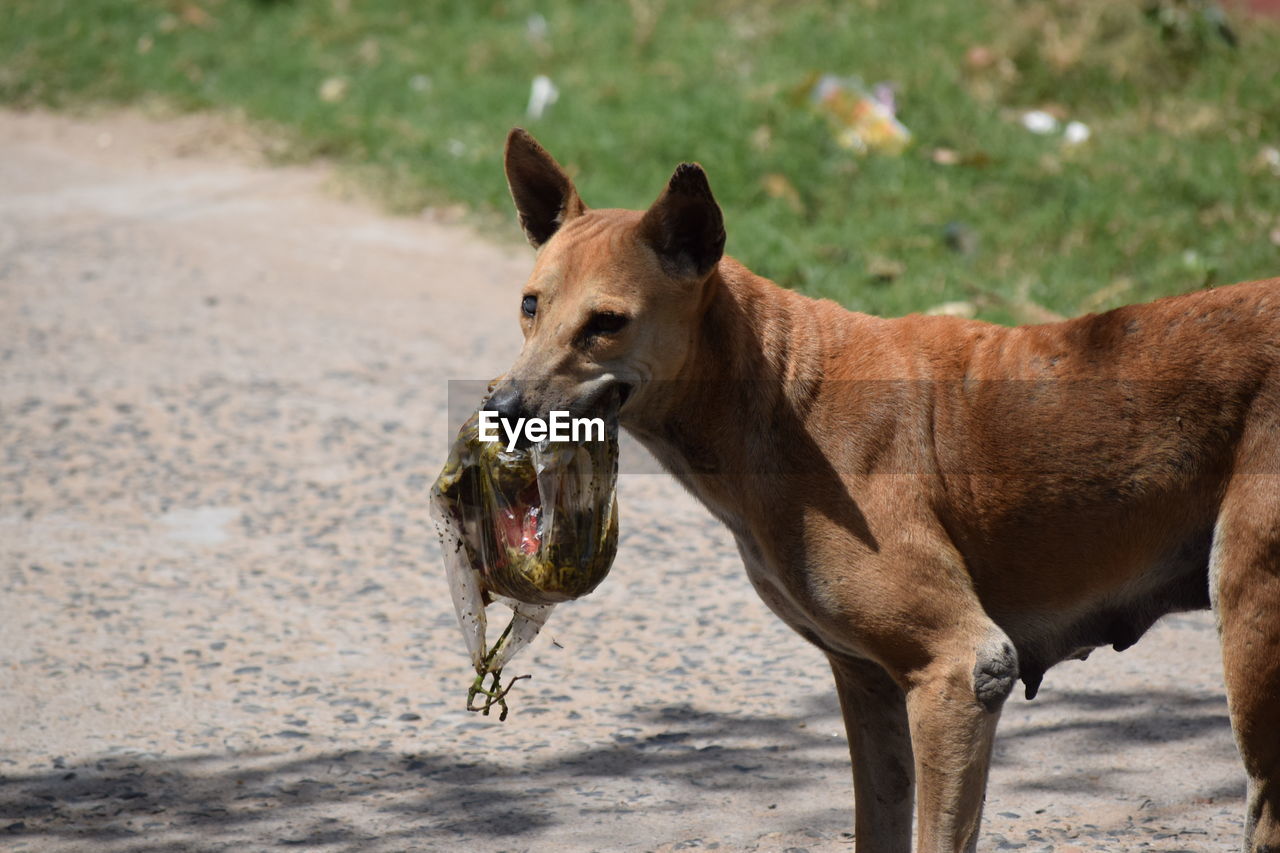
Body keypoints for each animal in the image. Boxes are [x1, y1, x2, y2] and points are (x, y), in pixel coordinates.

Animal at [486, 128, 1280, 850]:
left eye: (606, 323)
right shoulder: (867, 684)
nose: (504, 409)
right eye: (529, 306)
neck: (780, 393)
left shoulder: (963, 670)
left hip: (1251, 633)